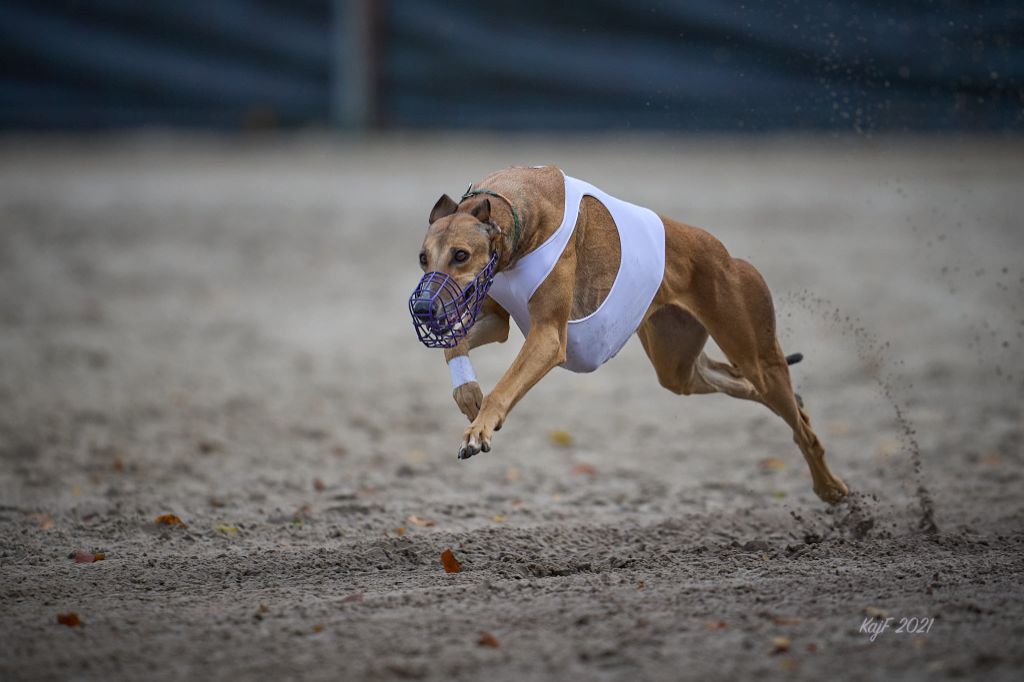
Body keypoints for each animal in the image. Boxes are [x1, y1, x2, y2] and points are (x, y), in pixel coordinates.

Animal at [407, 164, 847, 501]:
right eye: (423, 258)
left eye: (461, 255)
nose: (425, 308)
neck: (516, 210)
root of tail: (727, 255)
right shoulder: (494, 320)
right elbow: (454, 346)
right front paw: (469, 396)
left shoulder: (548, 337)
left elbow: (504, 386)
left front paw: (478, 429)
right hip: (677, 367)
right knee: (742, 384)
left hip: (756, 353)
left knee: (798, 425)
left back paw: (830, 487)